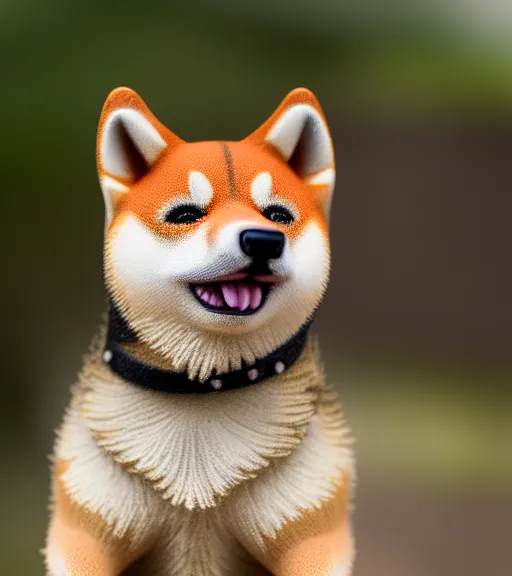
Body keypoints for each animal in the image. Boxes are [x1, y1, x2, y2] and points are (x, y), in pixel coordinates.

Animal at [46, 86, 354, 576]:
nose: (264, 240)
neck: (201, 395)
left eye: (278, 215)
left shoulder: (313, 533)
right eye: (185, 214)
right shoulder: (86, 529)